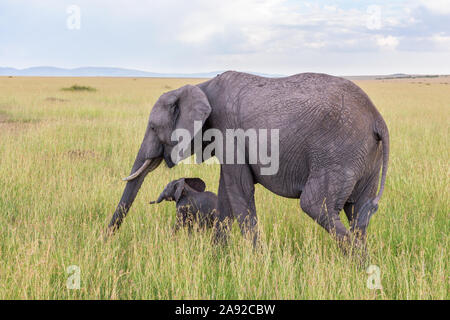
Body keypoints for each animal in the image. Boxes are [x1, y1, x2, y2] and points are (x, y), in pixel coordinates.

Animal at [107, 71, 388, 249]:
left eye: (154, 128)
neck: (201, 86)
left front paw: (257, 260)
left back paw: (360, 263)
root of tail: (378, 120)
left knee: (315, 205)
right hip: (364, 156)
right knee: (358, 211)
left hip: (338, 152)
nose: (106, 239)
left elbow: (238, 189)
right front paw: (218, 255)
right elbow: (226, 191)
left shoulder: (228, 130)